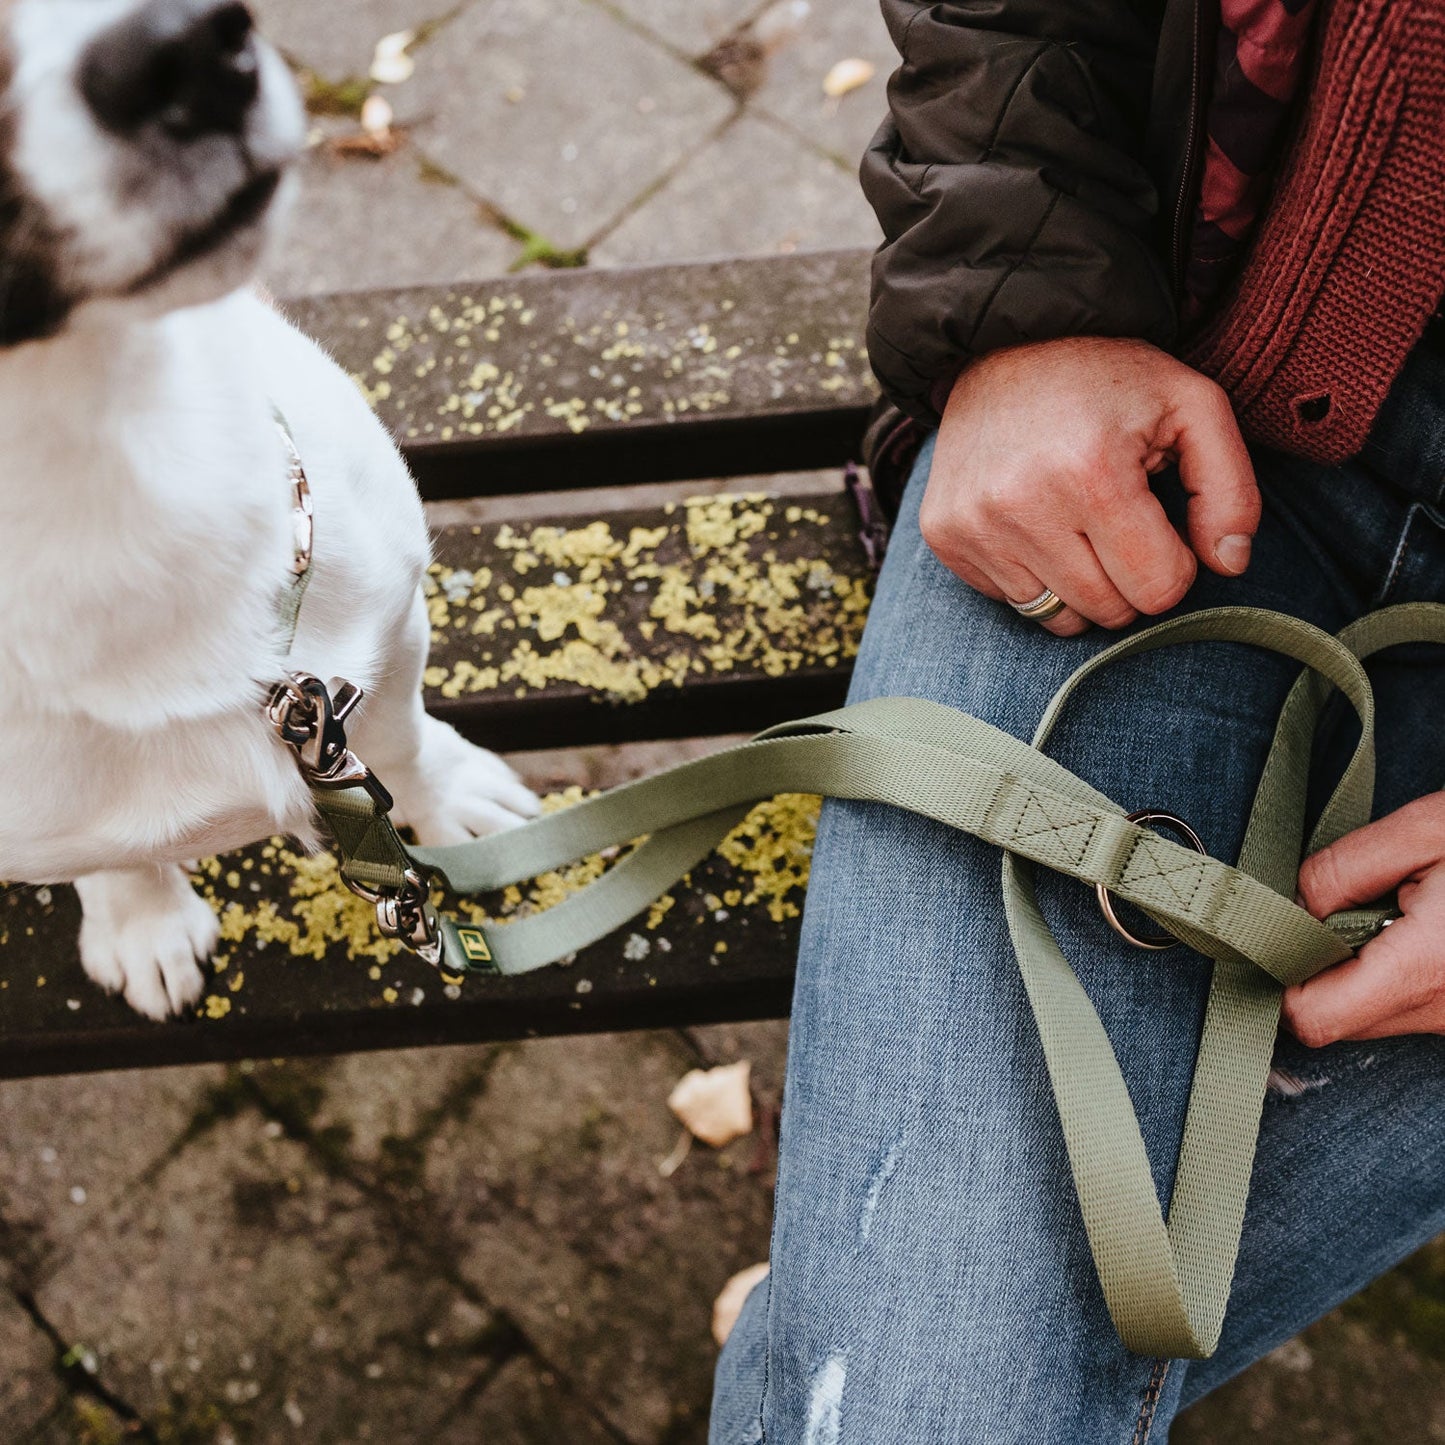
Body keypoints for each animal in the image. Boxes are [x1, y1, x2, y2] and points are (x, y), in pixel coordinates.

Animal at [0, 0, 540, 1017]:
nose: (191, 50)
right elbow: (108, 856)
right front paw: (144, 922)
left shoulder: (386, 634)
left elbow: (403, 737)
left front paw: (449, 797)